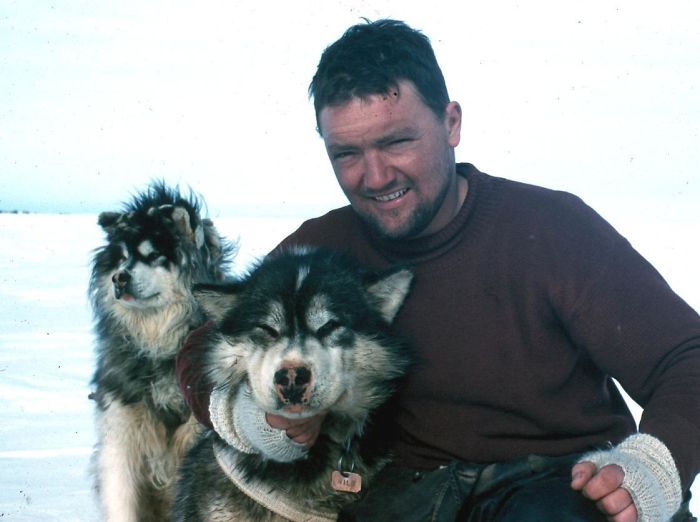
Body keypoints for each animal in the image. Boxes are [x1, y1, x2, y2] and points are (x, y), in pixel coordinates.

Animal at [88, 182, 232, 520]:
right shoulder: (121, 430)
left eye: (153, 255)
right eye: (122, 258)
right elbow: (121, 497)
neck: (160, 344)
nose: (119, 278)